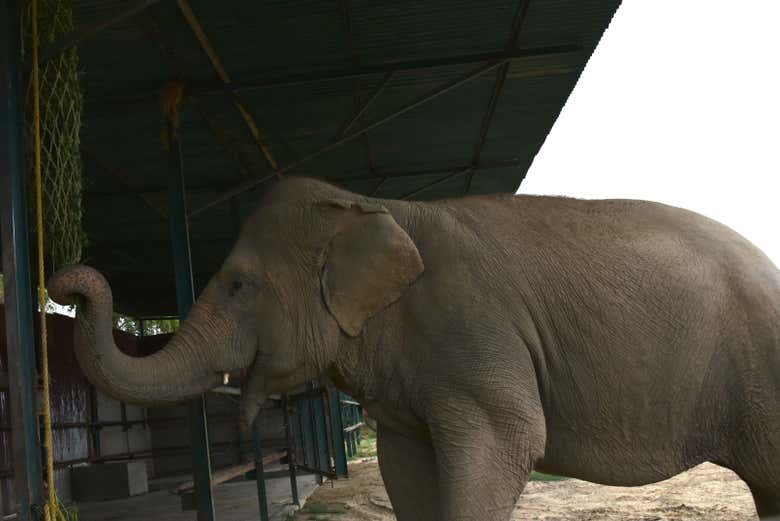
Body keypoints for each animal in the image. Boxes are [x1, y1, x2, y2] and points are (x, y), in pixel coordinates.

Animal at [49, 177, 780, 521]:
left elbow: (511, 436)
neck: (372, 205)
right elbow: (406, 465)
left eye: (236, 284)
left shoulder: (472, 327)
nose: (63, 280)